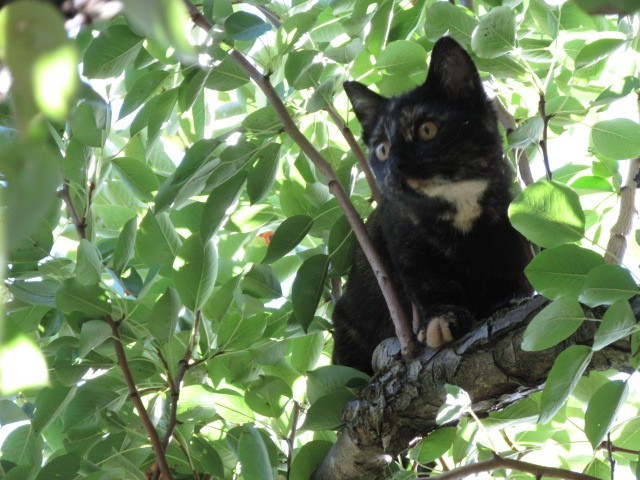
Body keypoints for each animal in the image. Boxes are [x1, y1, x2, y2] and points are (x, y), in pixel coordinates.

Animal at [332, 36, 534, 375]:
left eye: (427, 130)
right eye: (382, 149)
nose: (395, 165)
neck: (460, 205)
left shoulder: (509, 232)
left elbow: (510, 272)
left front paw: (507, 300)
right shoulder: (406, 244)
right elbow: (431, 284)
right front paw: (442, 320)